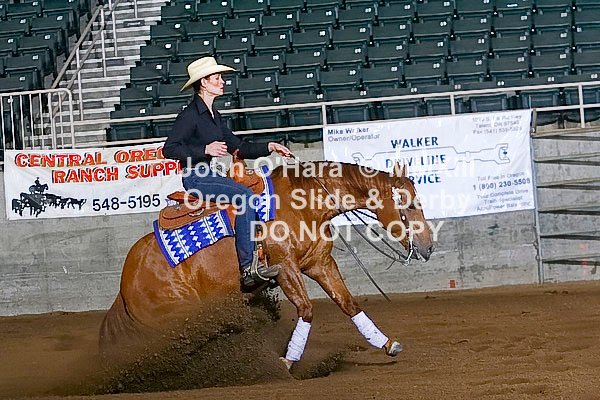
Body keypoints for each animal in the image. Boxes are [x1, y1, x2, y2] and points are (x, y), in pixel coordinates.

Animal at [99, 161, 433, 369]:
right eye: (409, 205)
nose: (428, 247)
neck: (303, 204)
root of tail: (124, 286)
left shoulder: (320, 264)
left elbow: (348, 304)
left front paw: (387, 344)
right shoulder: (285, 269)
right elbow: (306, 310)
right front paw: (286, 361)